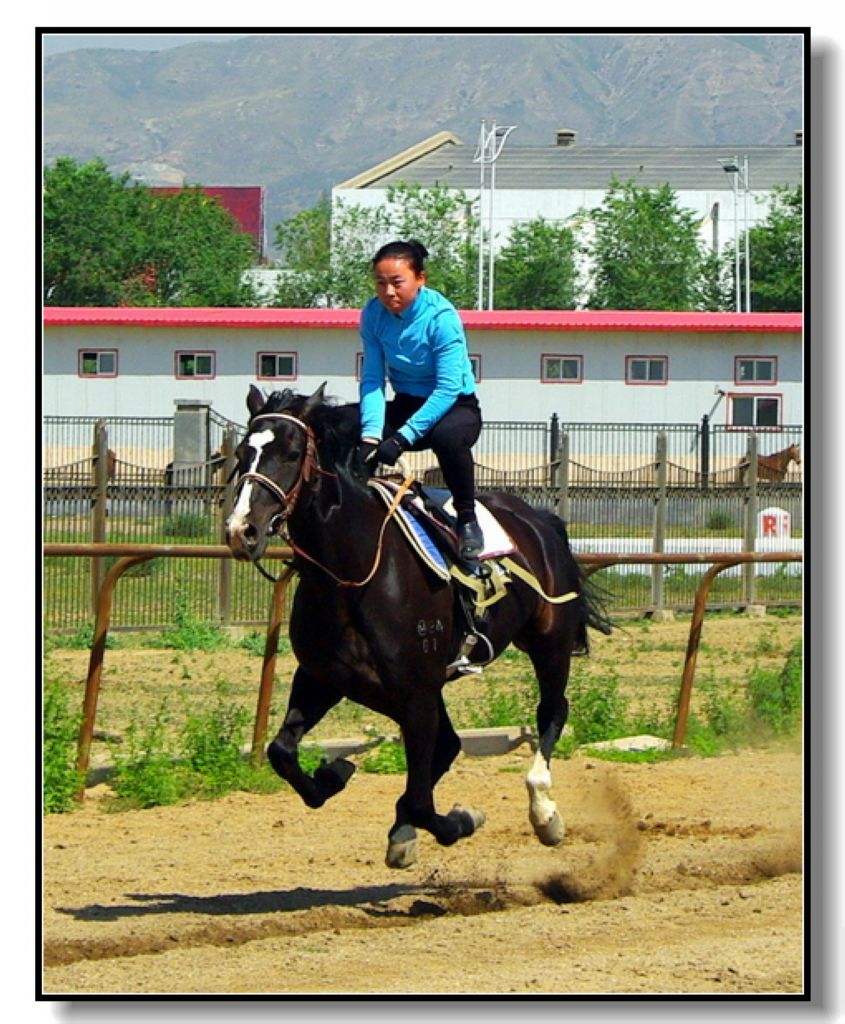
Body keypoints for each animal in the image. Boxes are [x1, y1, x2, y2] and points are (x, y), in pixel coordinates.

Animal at [224, 387, 606, 868]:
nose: (241, 530)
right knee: (449, 746)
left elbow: (426, 800)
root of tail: (540, 521)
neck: (353, 571)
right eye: (242, 454)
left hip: (549, 643)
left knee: (551, 712)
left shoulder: (417, 691)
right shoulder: (325, 678)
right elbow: (281, 752)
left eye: (291, 454)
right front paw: (334, 773)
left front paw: (461, 820)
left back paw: (544, 814)